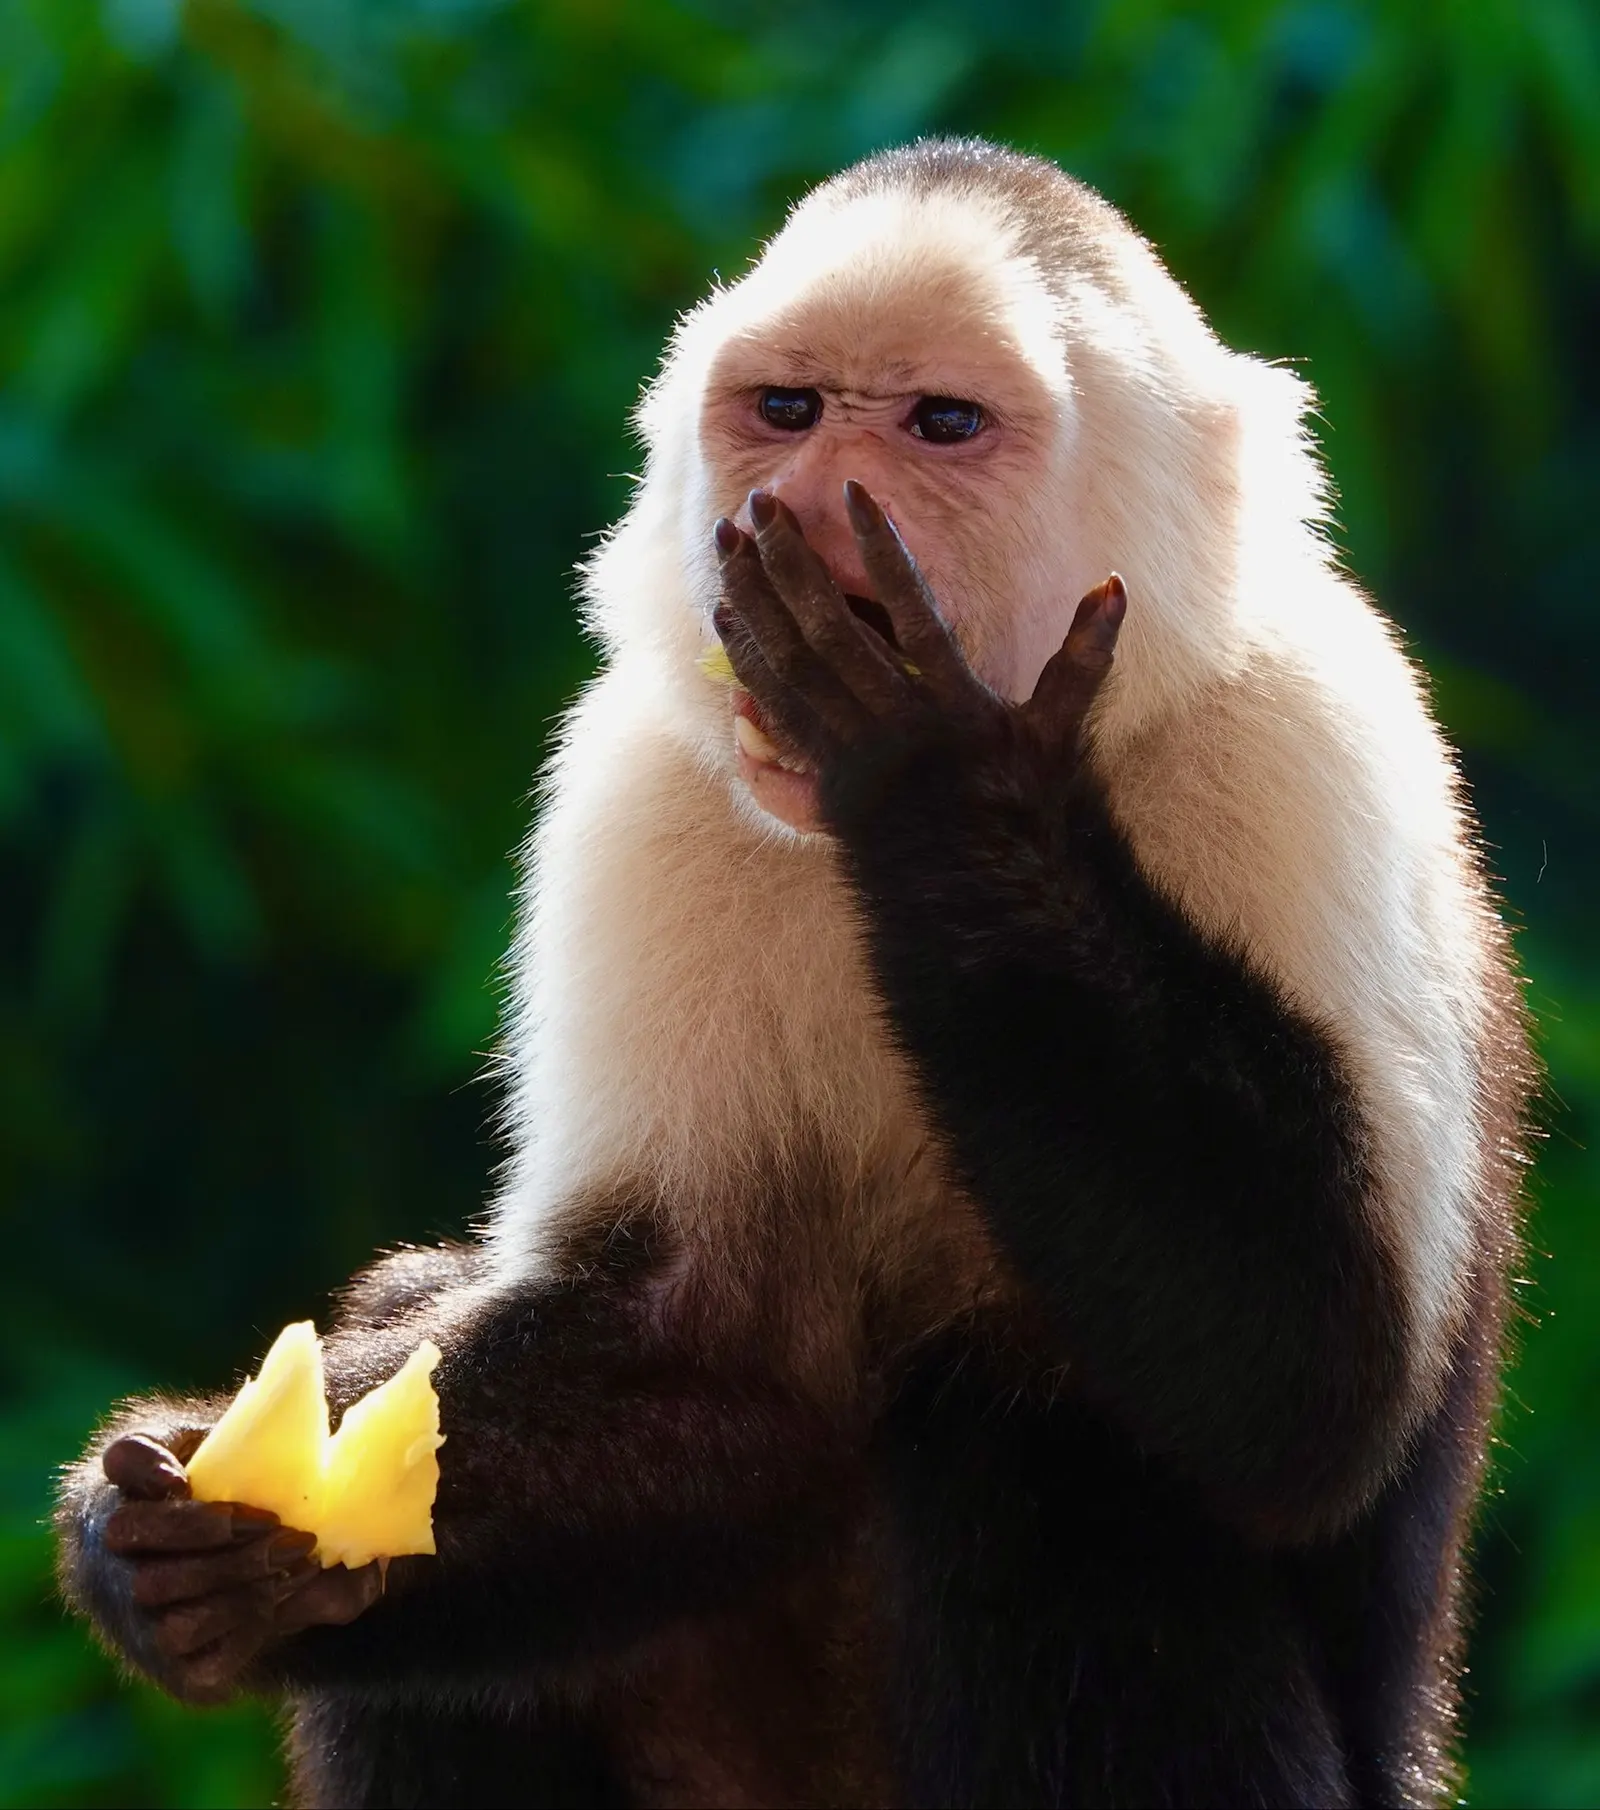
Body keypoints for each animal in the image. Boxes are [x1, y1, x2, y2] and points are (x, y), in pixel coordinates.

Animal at [56, 138, 1531, 1809]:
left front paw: (938, 774)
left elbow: (1314, 1385)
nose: (805, 506)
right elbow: (695, 1353)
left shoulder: (1308, 733)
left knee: (1035, 1451)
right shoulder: (644, 783)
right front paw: (193, 1545)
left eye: (941, 424)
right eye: (787, 408)